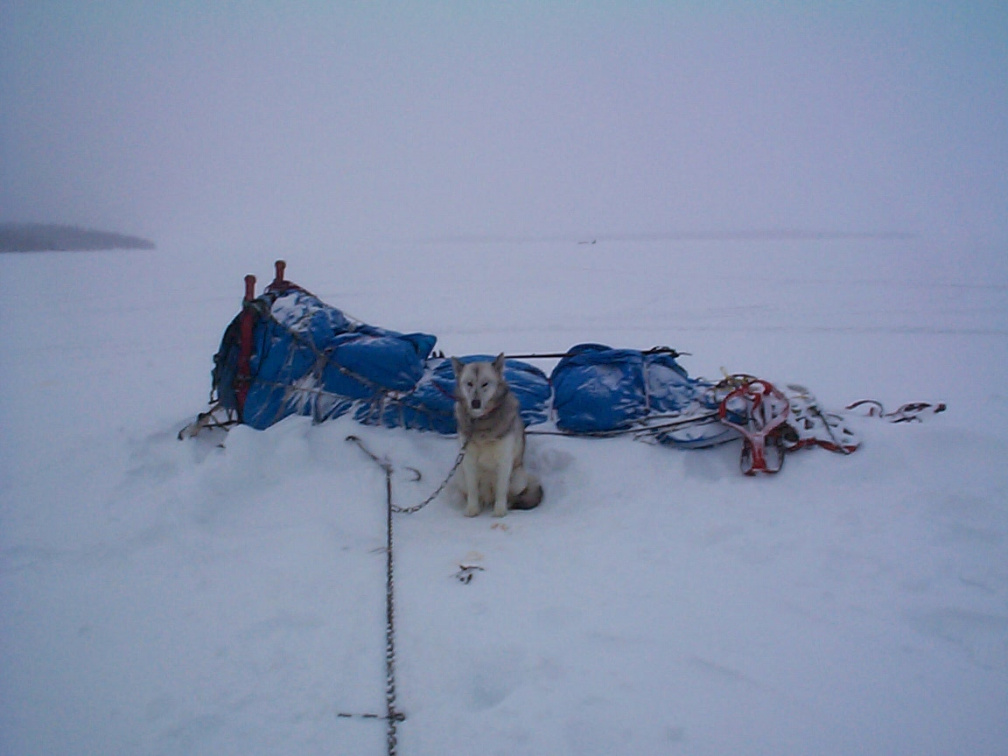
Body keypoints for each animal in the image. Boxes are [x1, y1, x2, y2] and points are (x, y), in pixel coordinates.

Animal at [451, 354, 544, 520]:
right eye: (469, 383)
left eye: (485, 384)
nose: (475, 402)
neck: (481, 422)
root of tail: (488, 496)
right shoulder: (468, 460)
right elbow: (472, 490)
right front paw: (472, 509)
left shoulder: (504, 460)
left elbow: (502, 489)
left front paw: (500, 511)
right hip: (460, 475)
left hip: (518, 478)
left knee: (510, 494)